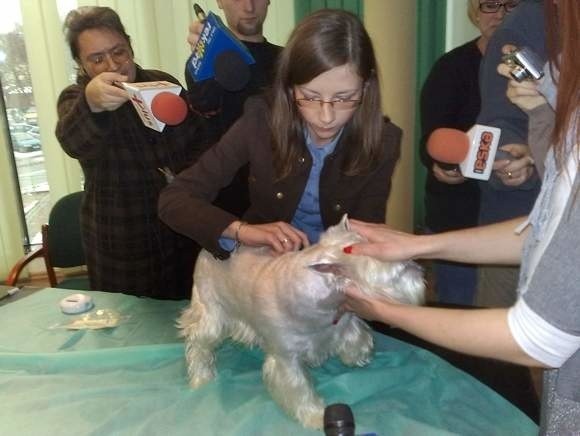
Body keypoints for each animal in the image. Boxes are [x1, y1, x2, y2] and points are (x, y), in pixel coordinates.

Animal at [179, 216, 424, 428]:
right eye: (399, 272)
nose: (422, 276)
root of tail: (207, 249)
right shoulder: (286, 359)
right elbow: (299, 389)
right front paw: (315, 416)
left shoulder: (341, 321)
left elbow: (356, 336)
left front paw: (358, 356)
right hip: (211, 313)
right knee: (198, 344)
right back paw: (201, 378)